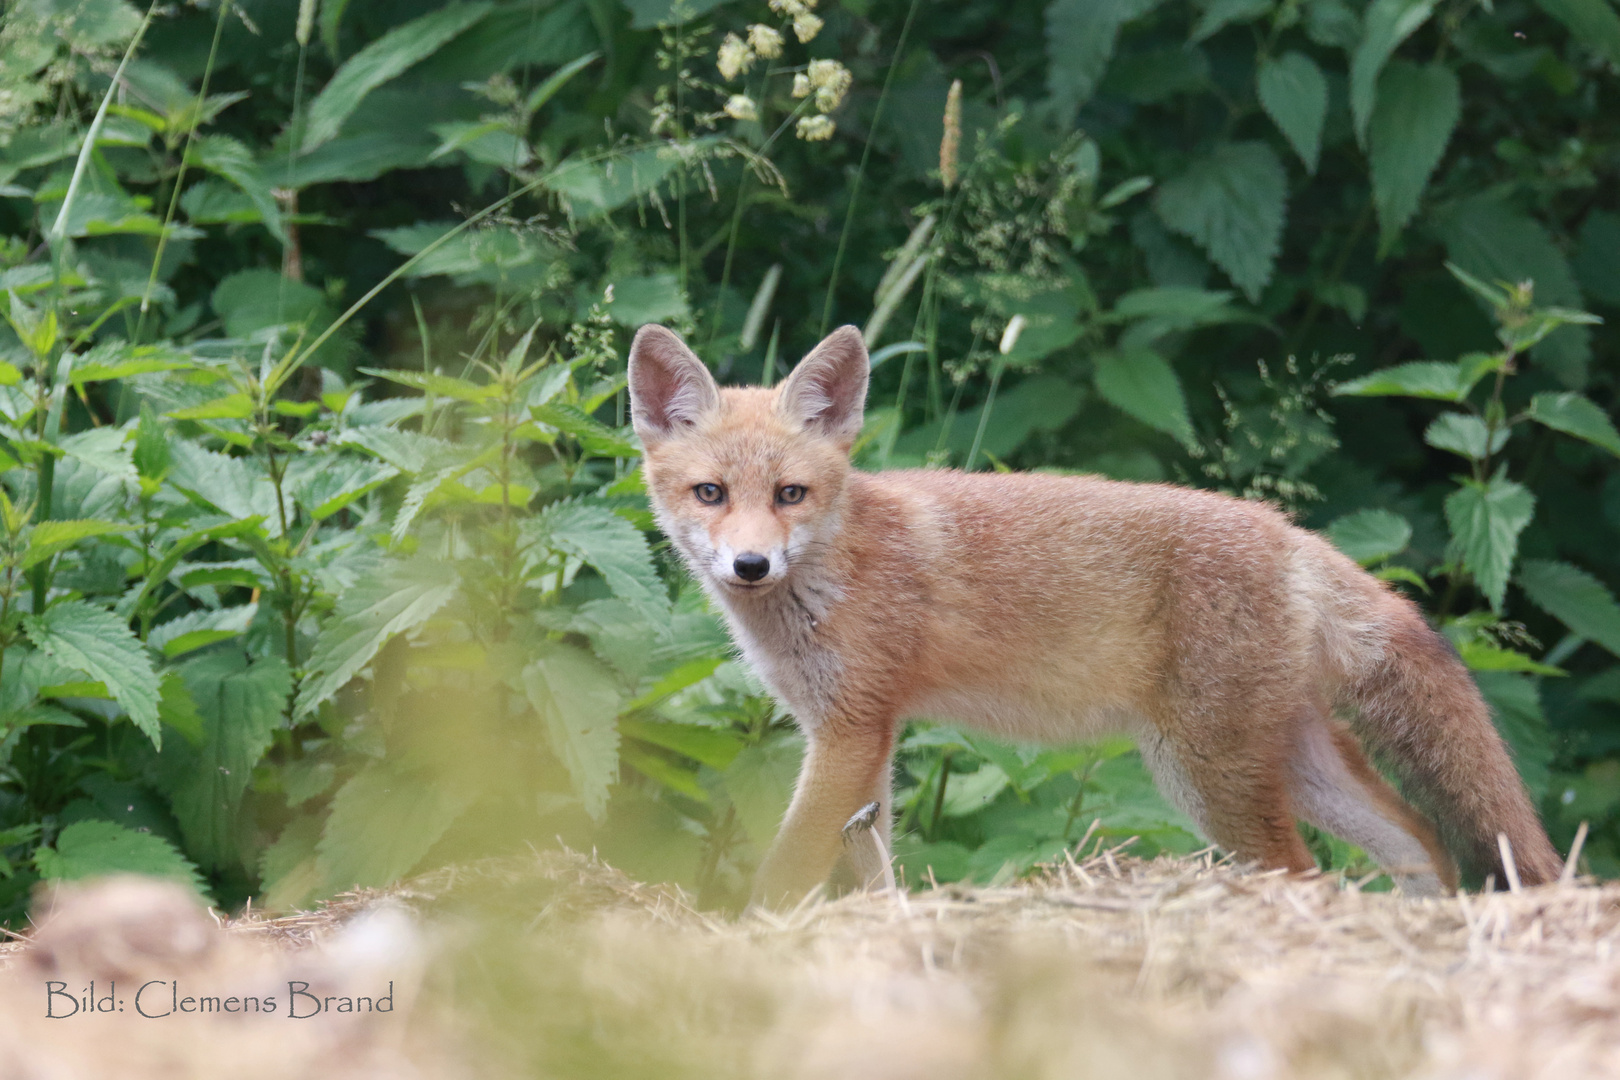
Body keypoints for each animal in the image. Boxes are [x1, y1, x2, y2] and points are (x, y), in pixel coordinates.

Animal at [625, 325, 1561, 906]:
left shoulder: (851, 731)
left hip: (1207, 777)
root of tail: (1290, 533)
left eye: (790, 495)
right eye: (710, 494)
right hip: (1290, 763)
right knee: (1420, 840)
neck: (836, 571)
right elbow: (874, 868)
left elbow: (782, 873)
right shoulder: (865, 742)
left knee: (1311, 875)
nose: (750, 565)